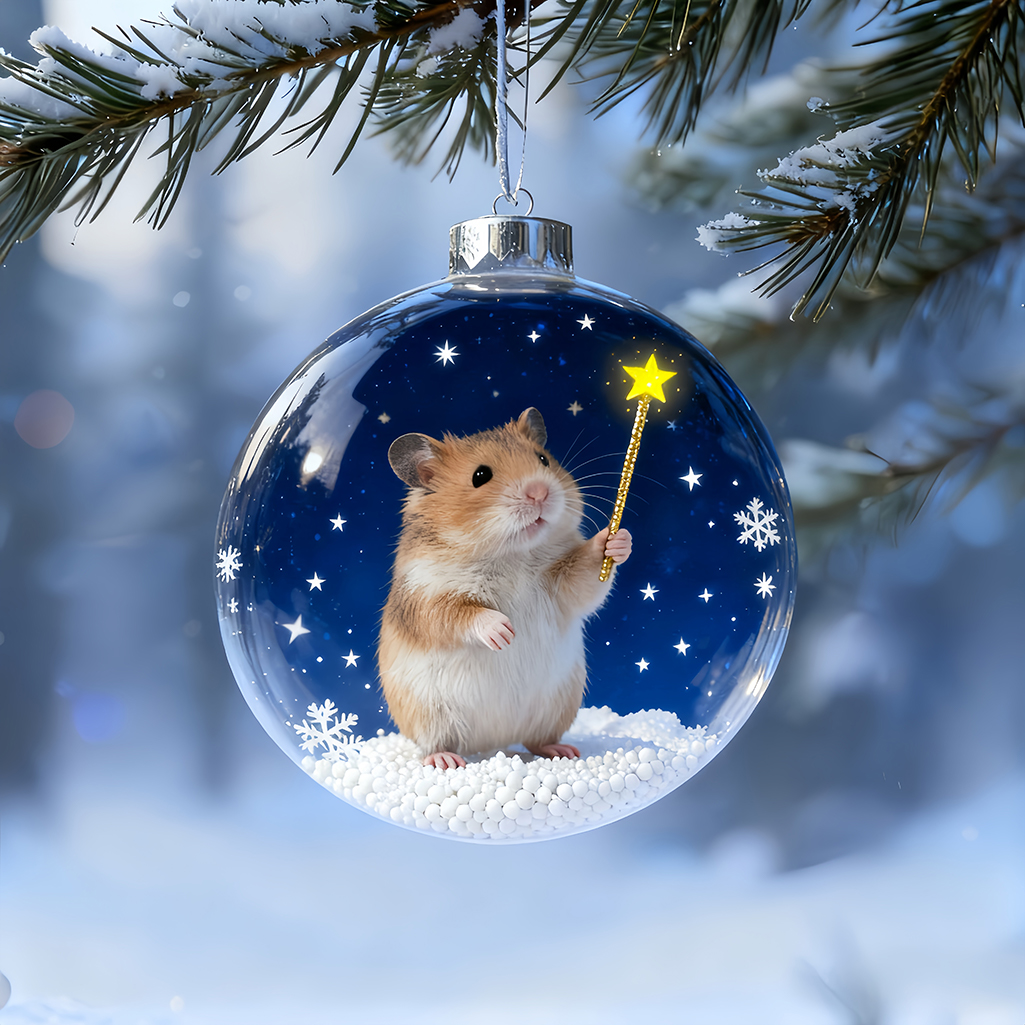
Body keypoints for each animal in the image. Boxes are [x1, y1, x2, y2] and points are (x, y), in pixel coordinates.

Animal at [378, 407, 632, 769]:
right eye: (480, 475)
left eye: (543, 459)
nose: (539, 492)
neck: (511, 554)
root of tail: (492, 744)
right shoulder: (425, 595)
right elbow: (459, 614)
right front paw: (505, 634)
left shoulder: (562, 584)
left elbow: (588, 575)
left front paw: (617, 539)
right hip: (427, 713)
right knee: (434, 744)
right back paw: (446, 760)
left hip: (557, 706)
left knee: (536, 740)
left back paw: (563, 751)